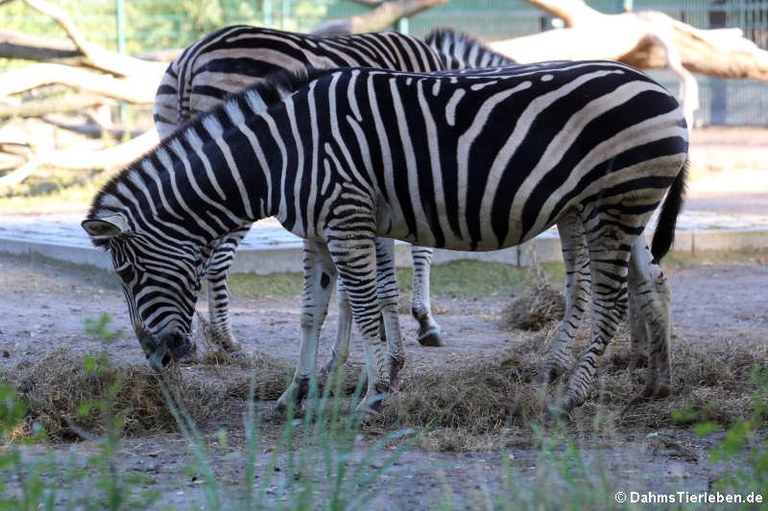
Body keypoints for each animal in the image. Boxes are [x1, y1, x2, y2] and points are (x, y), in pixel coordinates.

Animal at [84, 63, 688, 416]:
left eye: (127, 273)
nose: (158, 358)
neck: (279, 155)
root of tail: (662, 89)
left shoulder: (346, 219)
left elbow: (367, 306)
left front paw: (373, 394)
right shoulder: (318, 234)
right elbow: (312, 312)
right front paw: (294, 394)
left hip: (615, 202)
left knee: (610, 302)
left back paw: (570, 398)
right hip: (614, 206)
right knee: (651, 281)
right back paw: (655, 384)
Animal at [152, 25, 516, 364]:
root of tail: (192, 57)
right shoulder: (417, 170)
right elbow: (421, 250)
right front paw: (425, 323)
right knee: (213, 260)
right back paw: (227, 341)